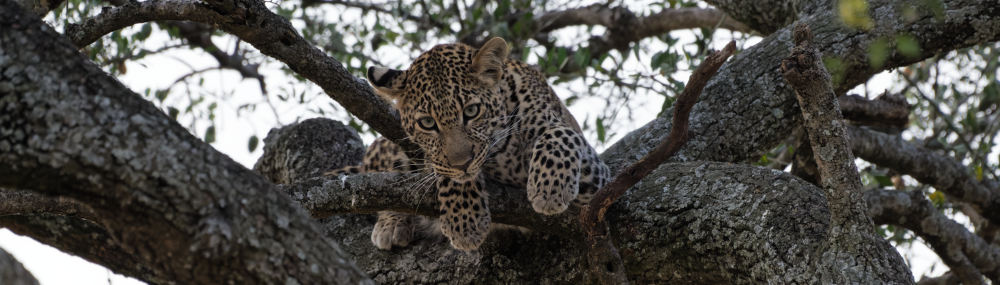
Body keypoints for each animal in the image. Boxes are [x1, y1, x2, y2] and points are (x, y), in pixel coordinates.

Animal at [328, 36, 608, 251]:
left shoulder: (595, 174)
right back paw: (391, 224)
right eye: (427, 123)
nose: (462, 163)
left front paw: (550, 189)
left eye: (472, 111)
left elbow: (560, 135)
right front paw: (464, 223)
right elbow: (445, 172)